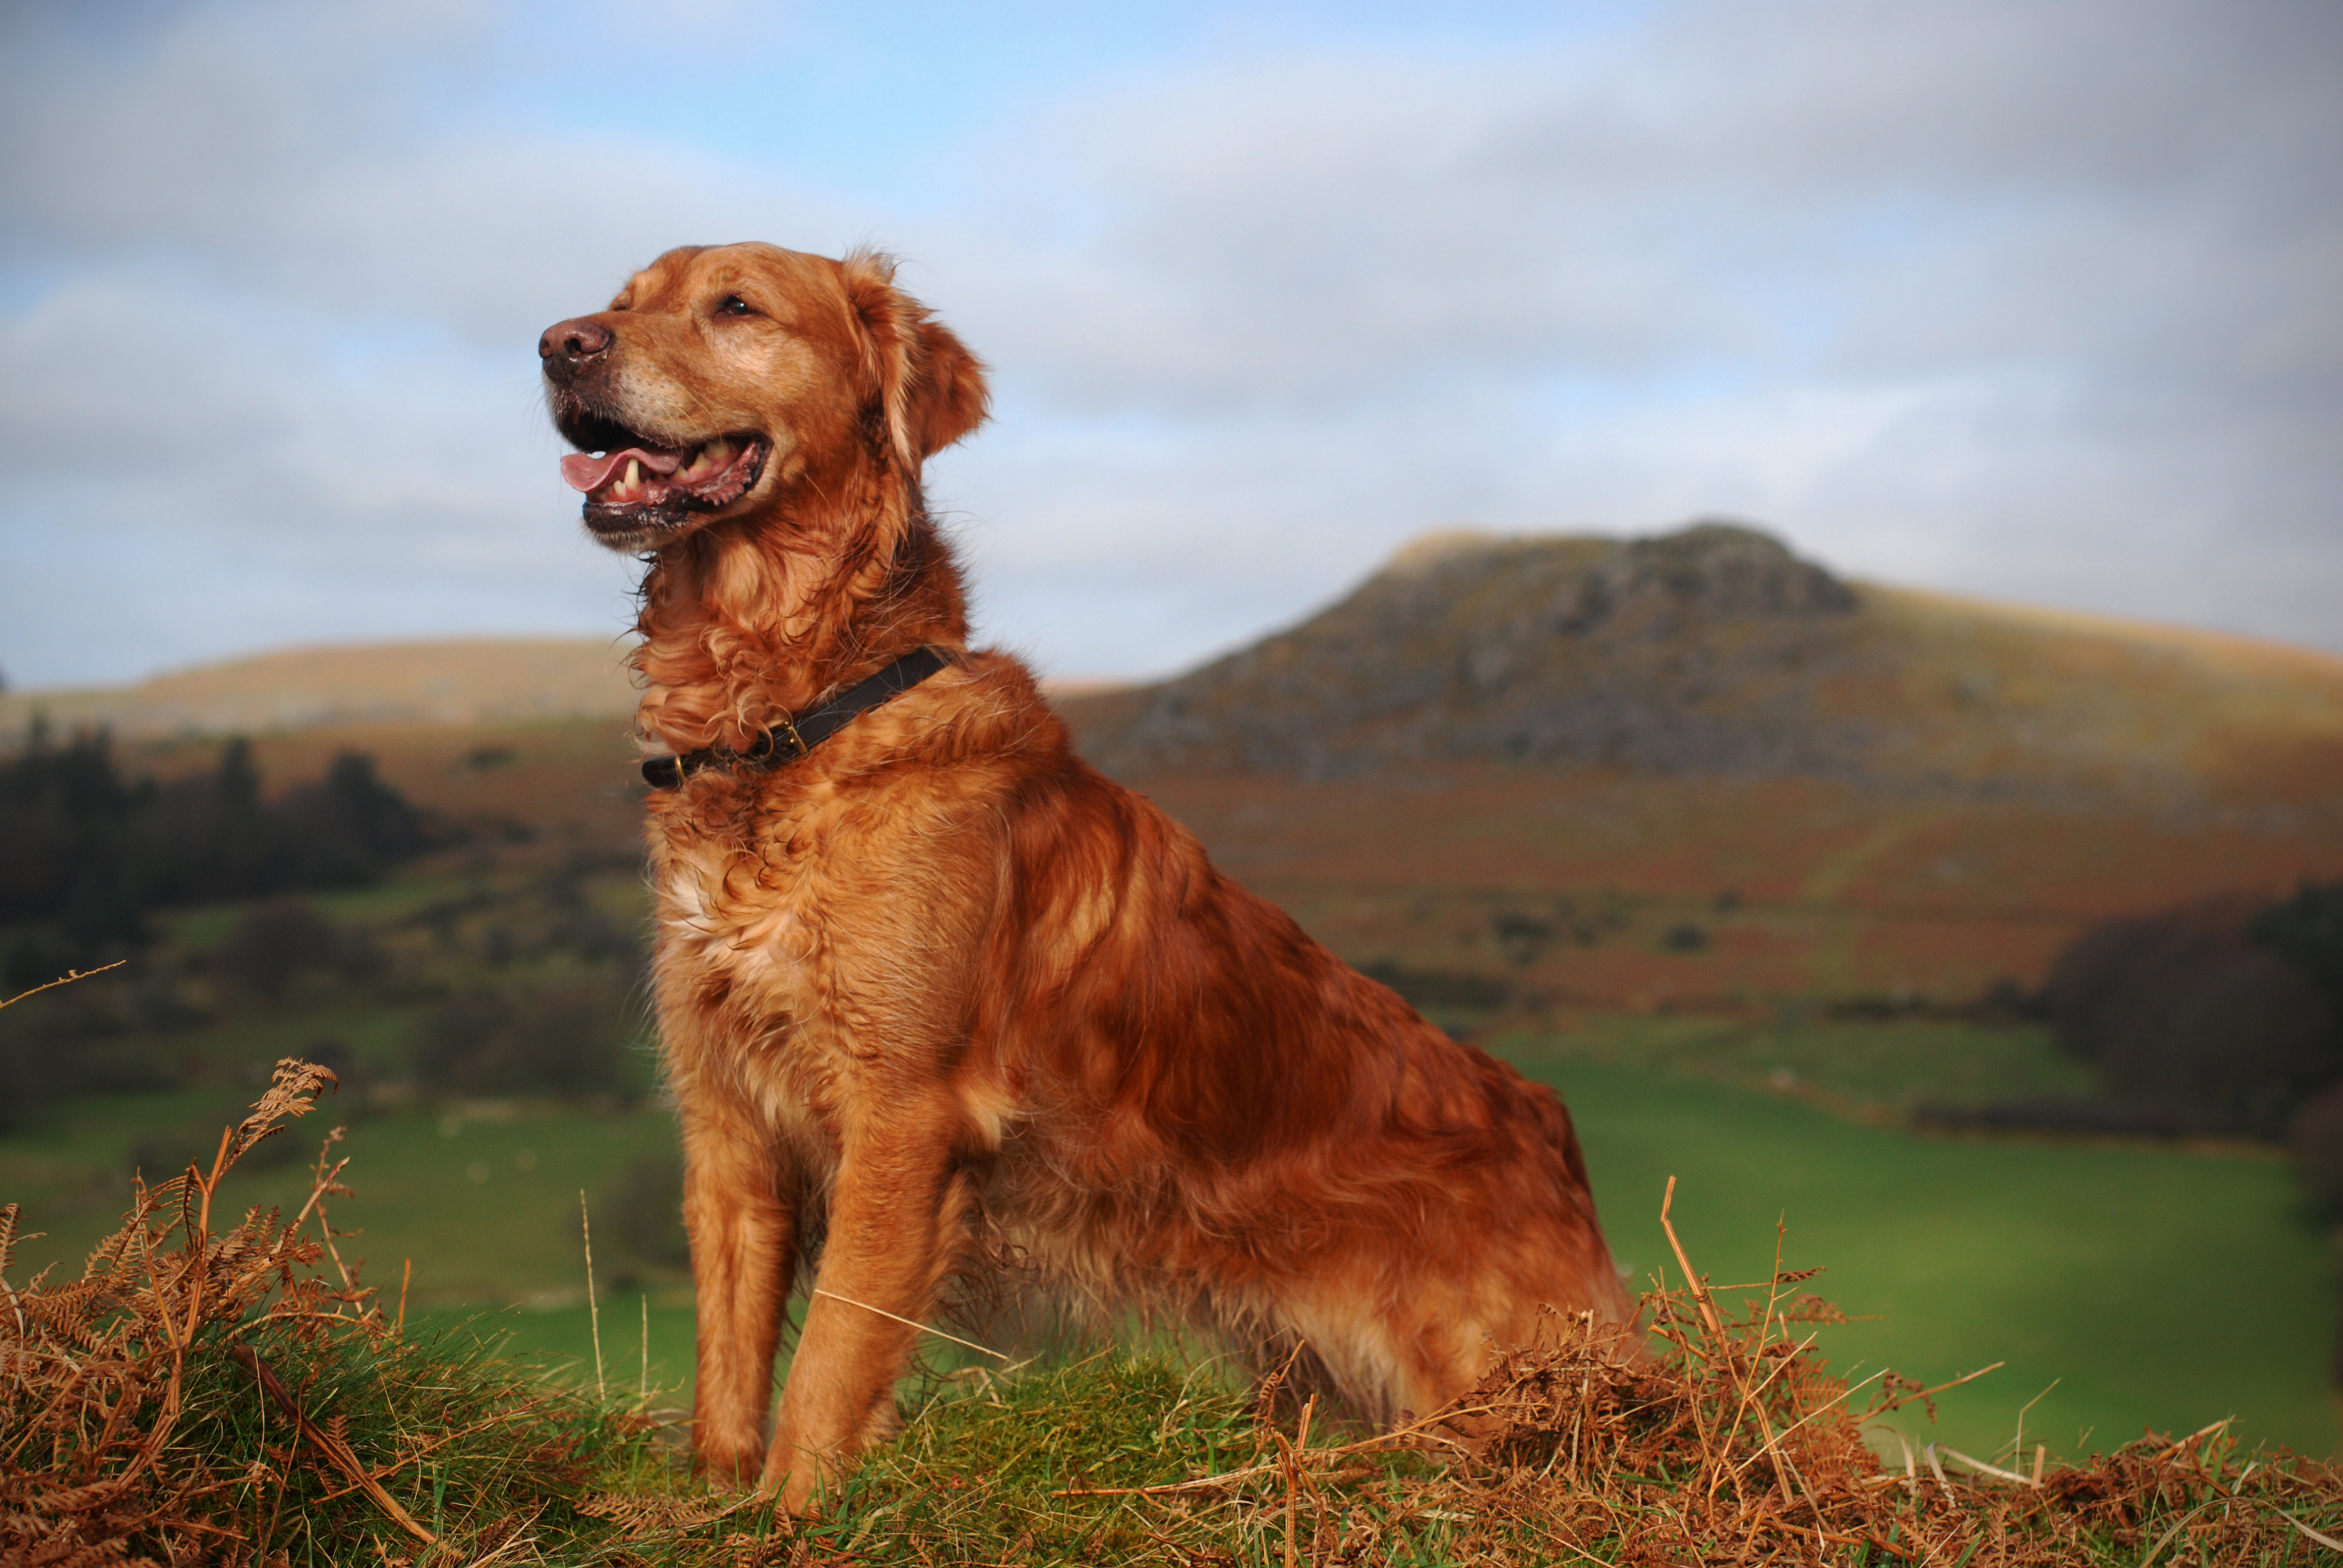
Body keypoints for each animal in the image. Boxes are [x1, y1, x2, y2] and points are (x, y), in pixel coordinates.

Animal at [536, 241, 1630, 1500]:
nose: (560, 344)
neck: (791, 720)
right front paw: (718, 1504)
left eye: (735, 305)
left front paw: (795, 1509)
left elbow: (828, 1360)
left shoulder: (901, 1111)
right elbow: (730, 1367)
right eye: (620, 303)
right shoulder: (724, 1119)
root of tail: (1547, 1127)